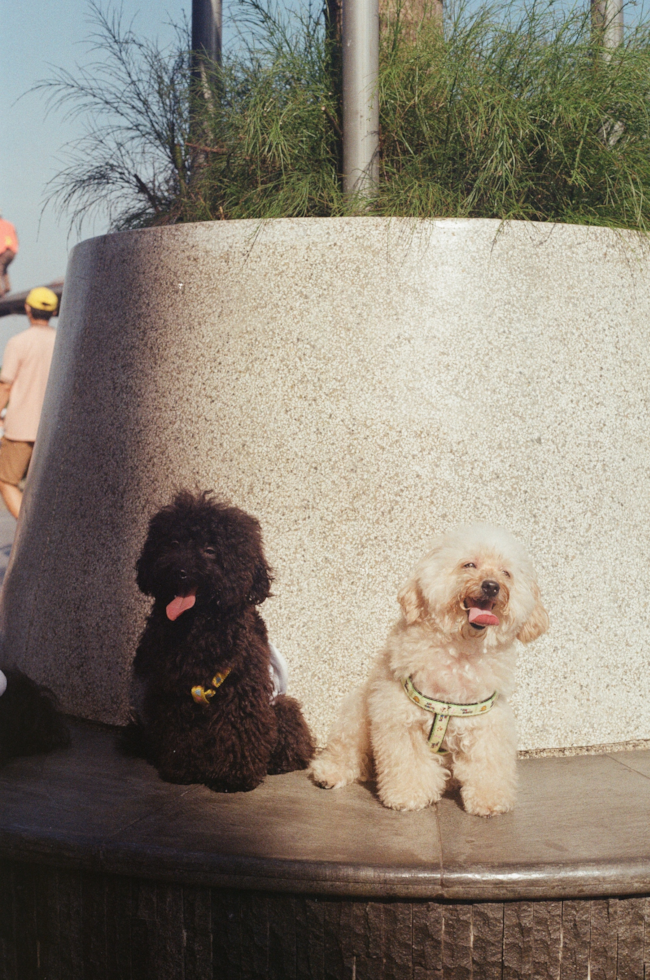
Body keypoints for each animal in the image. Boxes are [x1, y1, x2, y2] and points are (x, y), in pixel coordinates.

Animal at [125, 494, 316, 792]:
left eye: (210, 549)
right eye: (173, 543)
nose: (180, 571)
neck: (197, 626)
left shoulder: (240, 690)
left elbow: (238, 731)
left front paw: (233, 776)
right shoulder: (176, 690)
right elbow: (181, 732)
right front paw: (183, 769)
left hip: (280, 706)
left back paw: (279, 763)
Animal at [308, 524, 548, 816]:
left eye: (506, 573)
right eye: (469, 564)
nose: (491, 586)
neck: (460, 650)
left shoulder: (487, 723)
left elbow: (488, 764)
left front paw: (489, 800)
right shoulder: (399, 717)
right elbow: (408, 763)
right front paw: (408, 796)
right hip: (357, 715)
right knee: (346, 750)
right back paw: (329, 773)